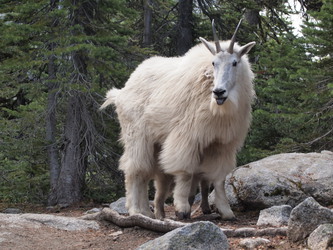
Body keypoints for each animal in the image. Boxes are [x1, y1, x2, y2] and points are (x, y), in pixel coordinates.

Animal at [100, 19, 254, 219]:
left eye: (235, 62)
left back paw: (146, 212)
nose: (219, 92)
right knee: (134, 170)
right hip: (136, 136)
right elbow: (185, 172)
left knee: (146, 173)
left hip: (155, 143)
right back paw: (135, 210)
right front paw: (182, 209)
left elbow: (219, 178)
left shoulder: (221, 143)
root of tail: (121, 92)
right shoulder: (187, 137)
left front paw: (226, 211)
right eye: (214, 63)